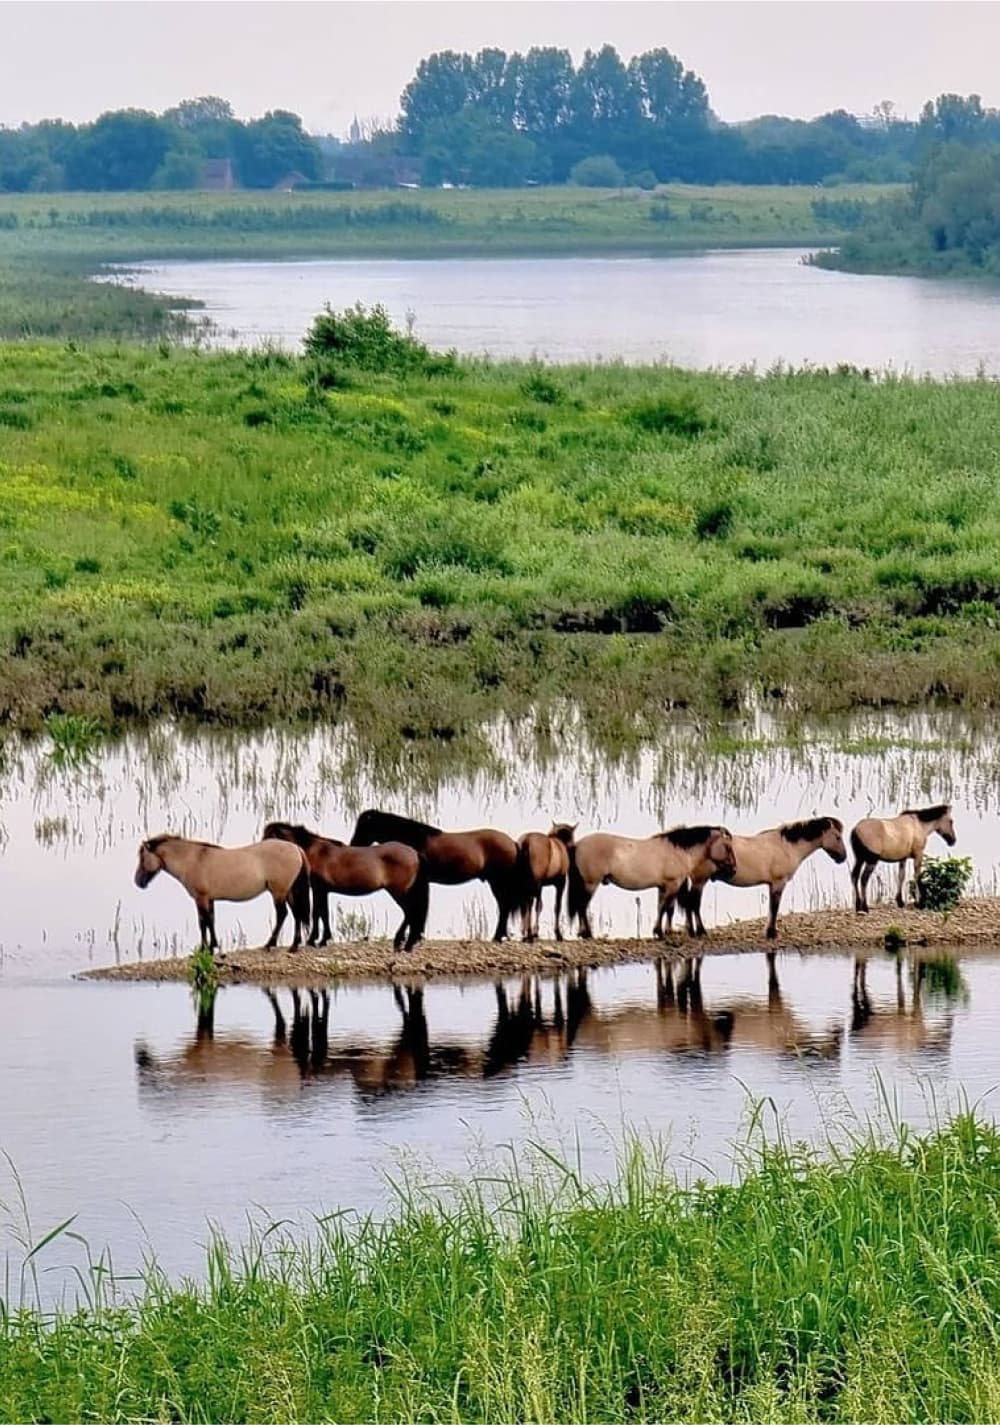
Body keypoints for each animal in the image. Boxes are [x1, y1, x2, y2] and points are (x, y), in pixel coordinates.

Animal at [133, 832, 311, 957]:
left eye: (142, 857)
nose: (138, 882)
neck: (193, 859)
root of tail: (296, 848)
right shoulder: (209, 899)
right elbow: (211, 921)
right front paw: (213, 945)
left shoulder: (201, 898)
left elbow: (203, 922)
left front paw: (206, 948)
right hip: (288, 891)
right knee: (296, 914)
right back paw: (294, 946)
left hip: (279, 892)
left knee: (282, 914)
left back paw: (270, 944)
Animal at [260, 820, 430, 951]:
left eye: (268, 838)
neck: (312, 852)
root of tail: (414, 853)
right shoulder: (323, 890)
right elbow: (323, 913)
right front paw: (322, 939)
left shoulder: (319, 888)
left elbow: (318, 913)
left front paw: (314, 940)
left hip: (398, 892)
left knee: (410, 912)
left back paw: (401, 942)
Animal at [350, 809, 521, 940]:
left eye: (364, 826)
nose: (353, 845)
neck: (414, 840)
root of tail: (512, 843)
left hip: (498, 882)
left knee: (504, 906)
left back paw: (498, 936)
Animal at [566, 832, 740, 940]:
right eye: (727, 847)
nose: (734, 869)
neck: (677, 851)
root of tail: (578, 845)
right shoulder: (672, 884)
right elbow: (664, 908)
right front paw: (659, 932)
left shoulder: (664, 887)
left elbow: (665, 908)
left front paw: (663, 931)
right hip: (590, 883)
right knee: (582, 906)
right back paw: (587, 934)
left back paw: (583, 933)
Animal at [680, 820, 843, 940]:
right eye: (838, 837)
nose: (843, 857)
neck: (786, 847)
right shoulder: (778, 883)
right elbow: (774, 907)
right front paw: (772, 933)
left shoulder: (772, 884)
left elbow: (771, 908)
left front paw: (769, 932)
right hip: (700, 880)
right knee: (693, 903)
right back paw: (700, 931)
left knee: (689, 903)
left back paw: (692, 931)